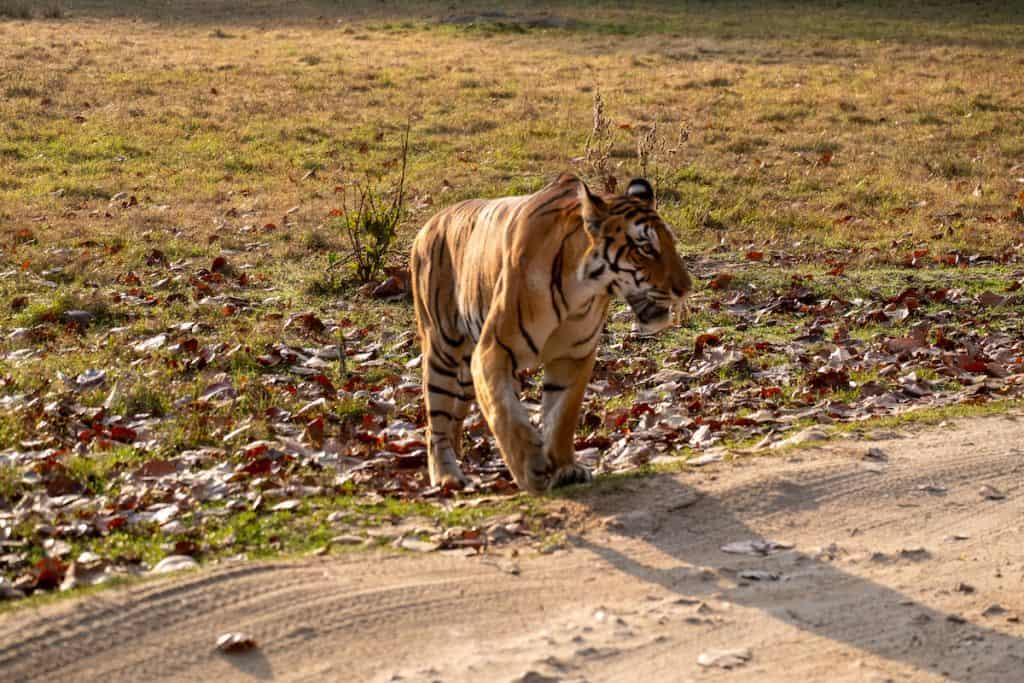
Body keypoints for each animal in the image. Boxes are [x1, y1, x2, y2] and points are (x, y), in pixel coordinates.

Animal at [411, 174, 692, 493]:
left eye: (670, 243)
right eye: (645, 248)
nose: (685, 288)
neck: (581, 291)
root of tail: (430, 223)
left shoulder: (573, 357)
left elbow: (561, 417)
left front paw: (566, 468)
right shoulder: (493, 350)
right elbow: (503, 411)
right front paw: (530, 467)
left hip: (468, 367)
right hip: (442, 349)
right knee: (436, 423)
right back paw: (447, 476)